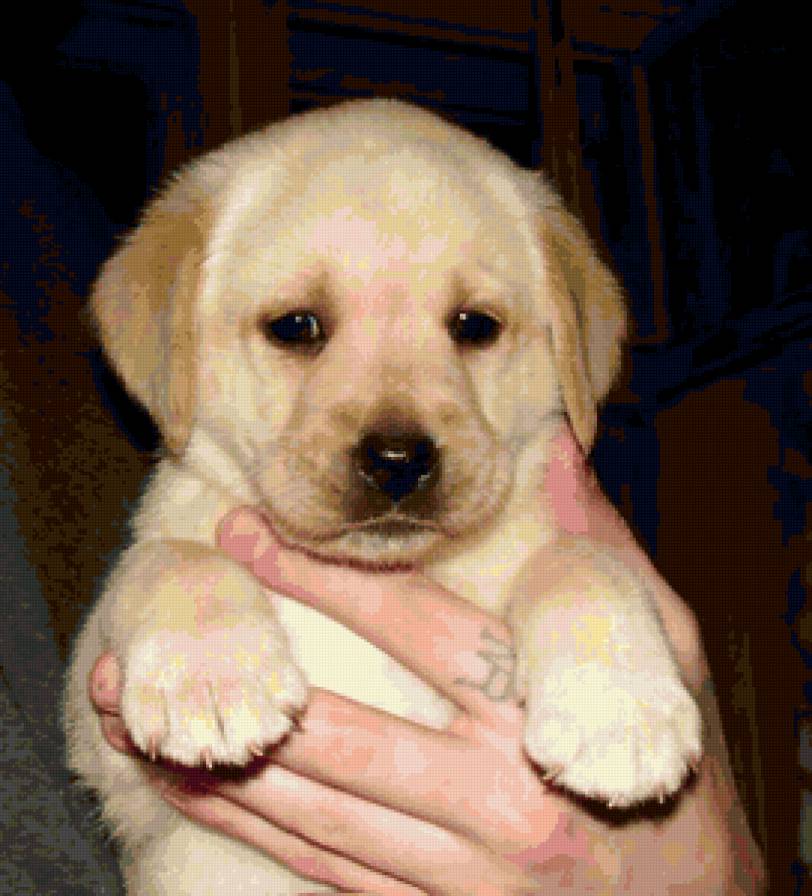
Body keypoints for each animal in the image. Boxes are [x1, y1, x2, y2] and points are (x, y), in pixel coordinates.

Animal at [64, 99, 702, 894]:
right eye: (296, 326)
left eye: (474, 326)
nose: (399, 461)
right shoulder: (107, 745)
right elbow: (167, 559)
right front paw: (208, 674)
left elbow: (583, 563)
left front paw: (620, 709)